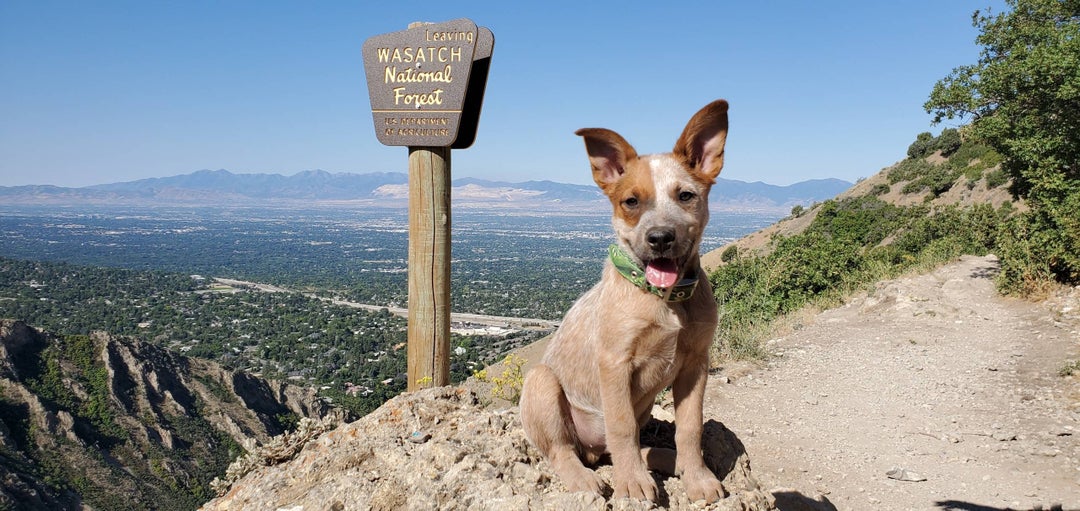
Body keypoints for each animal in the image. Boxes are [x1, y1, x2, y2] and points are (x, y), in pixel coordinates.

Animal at [518, 100, 730, 501]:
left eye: (685, 196)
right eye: (630, 201)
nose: (660, 238)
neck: (666, 299)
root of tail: (591, 451)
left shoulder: (696, 364)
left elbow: (690, 428)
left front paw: (697, 477)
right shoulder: (615, 363)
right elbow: (622, 427)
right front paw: (632, 482)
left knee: (625, 449)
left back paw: (667, 459)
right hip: (542, 382)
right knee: (563, 451)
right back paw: (587, 478)